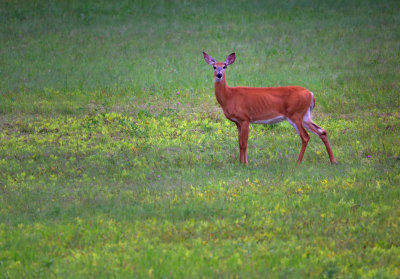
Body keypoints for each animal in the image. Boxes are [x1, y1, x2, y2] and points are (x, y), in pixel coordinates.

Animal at [203, 51, 338, 165]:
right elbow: (239, 142)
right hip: (305, 115)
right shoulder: (237, 122)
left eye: (225, 66)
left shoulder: (245, 118)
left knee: (305, 136)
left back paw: (298, 162)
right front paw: (240, 162)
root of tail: (311, 94)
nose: (219, 75)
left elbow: (244, 143)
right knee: (322, 131)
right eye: (214, 66)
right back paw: (333, 161)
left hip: (295, 114)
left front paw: (245, 163)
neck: (229, 96)